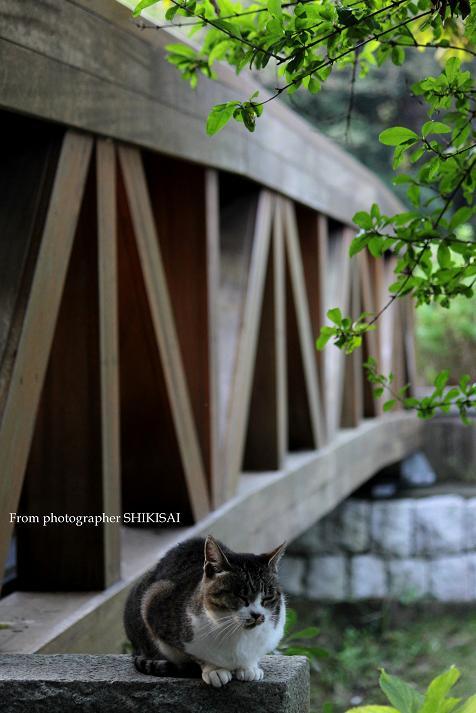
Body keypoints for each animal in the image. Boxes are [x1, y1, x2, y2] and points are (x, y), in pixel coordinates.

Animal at [123, 536, 286, 688]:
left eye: (268, 597)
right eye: (241, 596)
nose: (258, 615)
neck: (236, 631)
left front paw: (249, 667)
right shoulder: (154, 601)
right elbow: (196, 654)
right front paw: (214, 670)